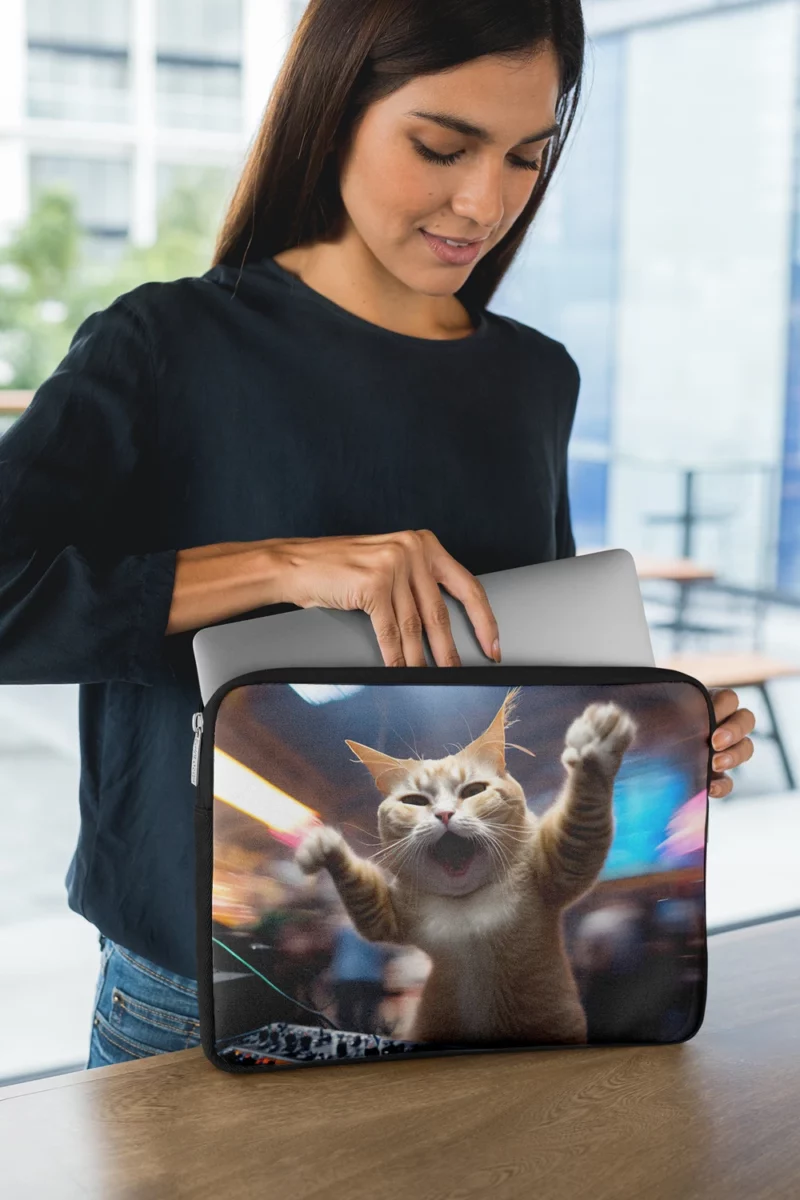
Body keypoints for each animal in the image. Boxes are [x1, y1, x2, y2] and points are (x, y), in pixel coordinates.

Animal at [293, 691, 638, 1046]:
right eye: (415, 801)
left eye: (474, 791)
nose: (444, 814)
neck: (467, 901)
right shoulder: (386, 914)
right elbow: (360, 889)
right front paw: (324, 847)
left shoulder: (562, 864)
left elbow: (582, 818)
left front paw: (595, 749)